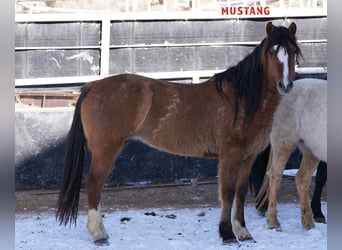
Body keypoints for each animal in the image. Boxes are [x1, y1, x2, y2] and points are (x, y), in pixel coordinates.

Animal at [55, 21, 300, 244]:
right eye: (271, 51)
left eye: (293, 52)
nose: (285, 85)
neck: (241, 100)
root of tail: (92, 86)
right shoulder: (230, 156)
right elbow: (228, 193)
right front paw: (227, 234)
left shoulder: (248, 156)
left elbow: (240, 192)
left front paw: (243, 232)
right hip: (105, 151)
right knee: (93, 183)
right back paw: (98, 234)